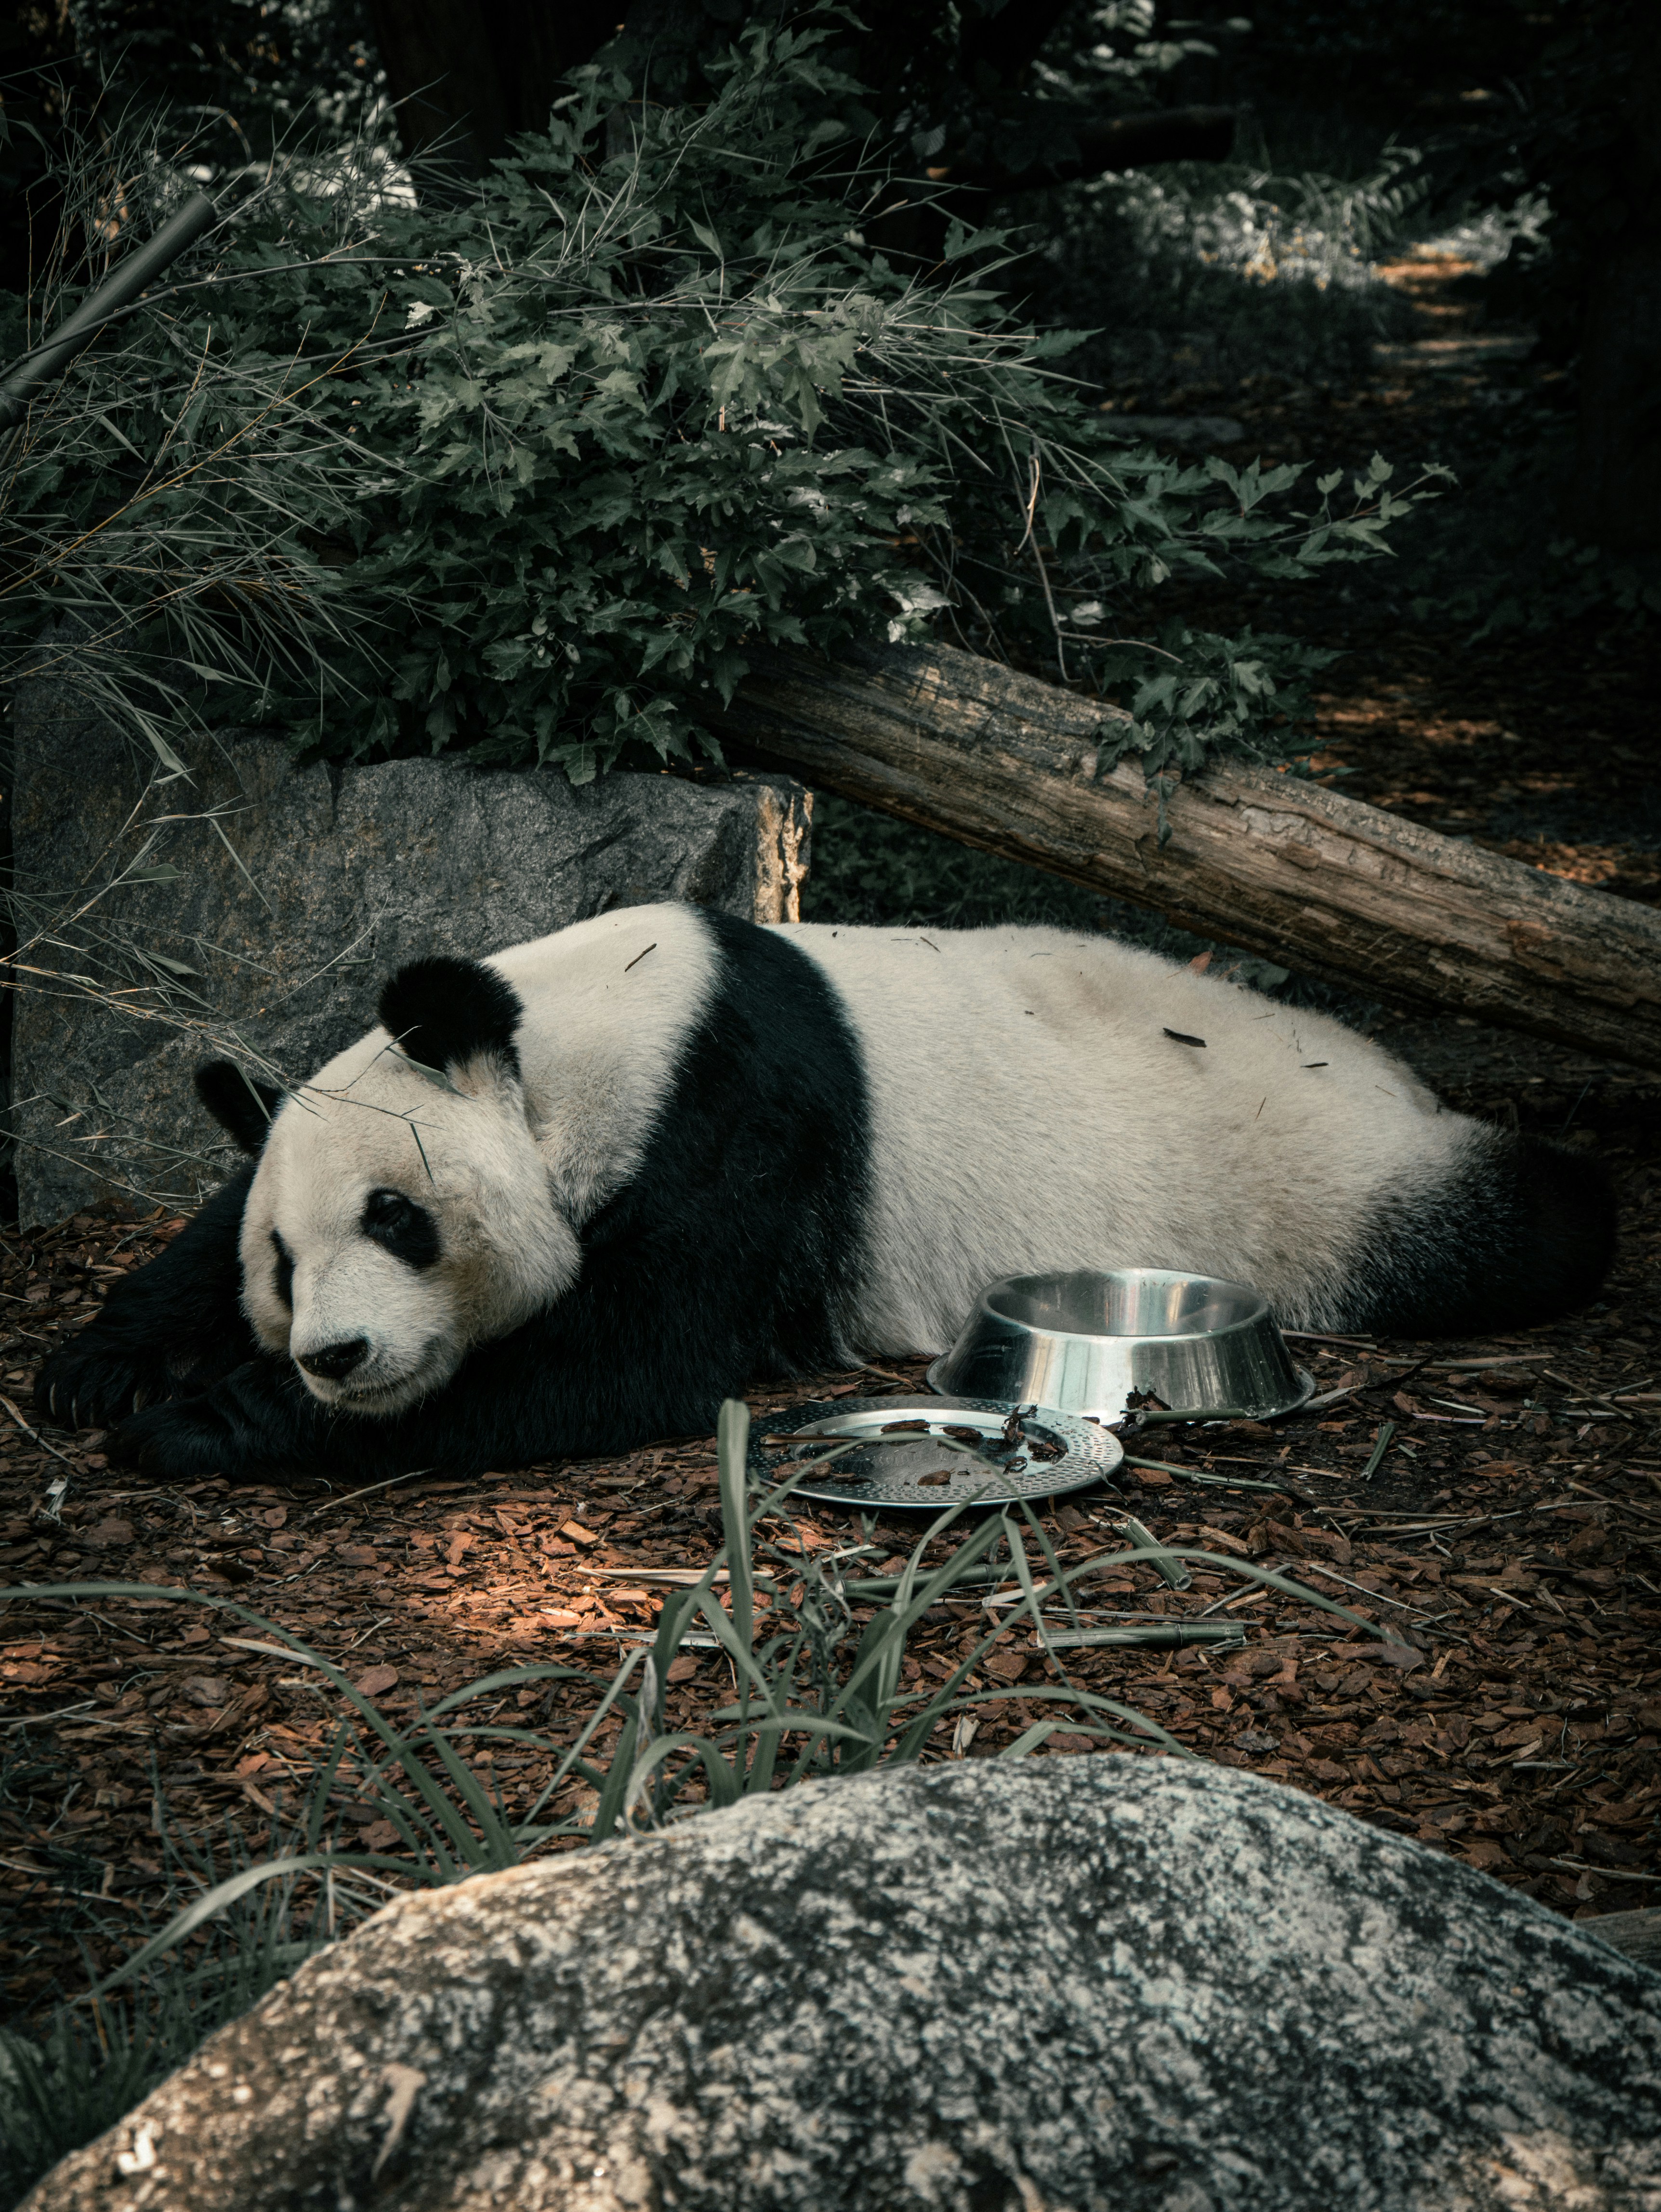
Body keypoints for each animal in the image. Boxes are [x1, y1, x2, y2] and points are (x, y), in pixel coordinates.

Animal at [37, 902, 1613, 1483]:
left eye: (397, 1219)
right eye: (283, 1264)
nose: (337, 1355)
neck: (586, 1036)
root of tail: (1394, 1076)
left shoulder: (738, 1114)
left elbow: (628, 1357)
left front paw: (211, 1418)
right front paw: (102, 1363)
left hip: (1323, 1177)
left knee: (1503, 1225)